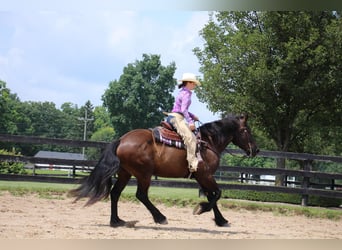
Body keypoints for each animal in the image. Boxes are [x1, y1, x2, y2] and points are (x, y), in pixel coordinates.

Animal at [70, 113, 260, 227]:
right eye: (246, 130)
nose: (256, 150)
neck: (208, 142)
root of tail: (122, 139)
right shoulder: (206, 175)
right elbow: (217, 194)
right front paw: (201, 209)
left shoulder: (202, 177)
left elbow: (211, 196)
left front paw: (221, 220)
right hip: (143, 174)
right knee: (141, 195)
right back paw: (160, 217)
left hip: (125, 173)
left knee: (115, 193)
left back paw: (116, 221)